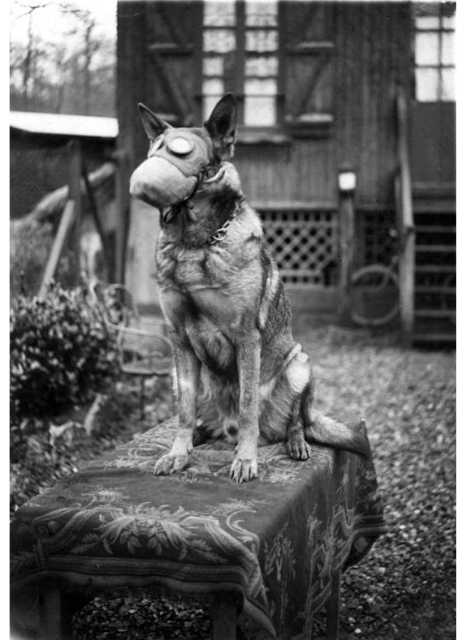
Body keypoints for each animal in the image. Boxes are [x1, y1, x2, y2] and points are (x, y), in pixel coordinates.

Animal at [130, 95, 372, 482]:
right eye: (155, 147)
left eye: (183, 150)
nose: (149, 170)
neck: (195, 242)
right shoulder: (179, 339)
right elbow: (184, 411)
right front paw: (178, 453)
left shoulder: (246, 338)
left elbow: (247, 407)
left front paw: (246, 459)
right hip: (182, 376)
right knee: (200, 417)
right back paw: (199, 435)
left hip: (299, 363)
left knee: (296, 422)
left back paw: (295, 443)